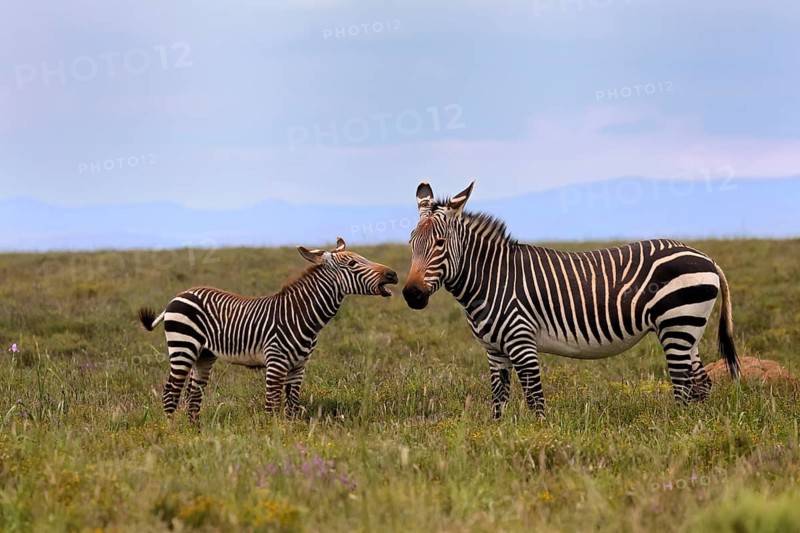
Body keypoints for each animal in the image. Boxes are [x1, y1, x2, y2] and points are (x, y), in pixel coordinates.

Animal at [138, 238, 398, 422]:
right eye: (352, 264)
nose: (393, 274)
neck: (300, 314)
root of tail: (178, 295)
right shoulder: (276, 363)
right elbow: (271, 406)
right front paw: (271, 437)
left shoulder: (298, 367)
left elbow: (292, 405)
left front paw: (290, 434)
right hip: (183, 347)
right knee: (171, 391)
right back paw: (173, 431)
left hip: (204, 354)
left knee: (193, 393)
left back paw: (196, 432)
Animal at [402, 181, 739, 419]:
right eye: (411, 242)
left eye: (440, 243)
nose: (411, 294)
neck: (491, 278)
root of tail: (707, 258)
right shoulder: (494, 351)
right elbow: (498, 403)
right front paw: (495, 440)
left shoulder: (522, 342)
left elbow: (535, 400)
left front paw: (537, 438)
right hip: (688, 329)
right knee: (701, 383)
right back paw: (694, 428)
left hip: (677, 324)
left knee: (684, 385)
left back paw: (677, 427)